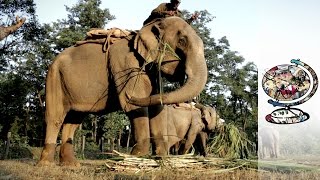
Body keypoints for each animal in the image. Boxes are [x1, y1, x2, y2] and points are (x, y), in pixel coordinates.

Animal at [38, 16, 208, 167]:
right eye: (182, 41)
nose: (127, 94)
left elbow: (156, 107)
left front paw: (161, 159)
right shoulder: (125, 63)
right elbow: (134, 107)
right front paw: (137, 157)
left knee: (73, 120)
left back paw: (71, 165)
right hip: (54, 77)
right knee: (55, 118)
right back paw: (46, 165)